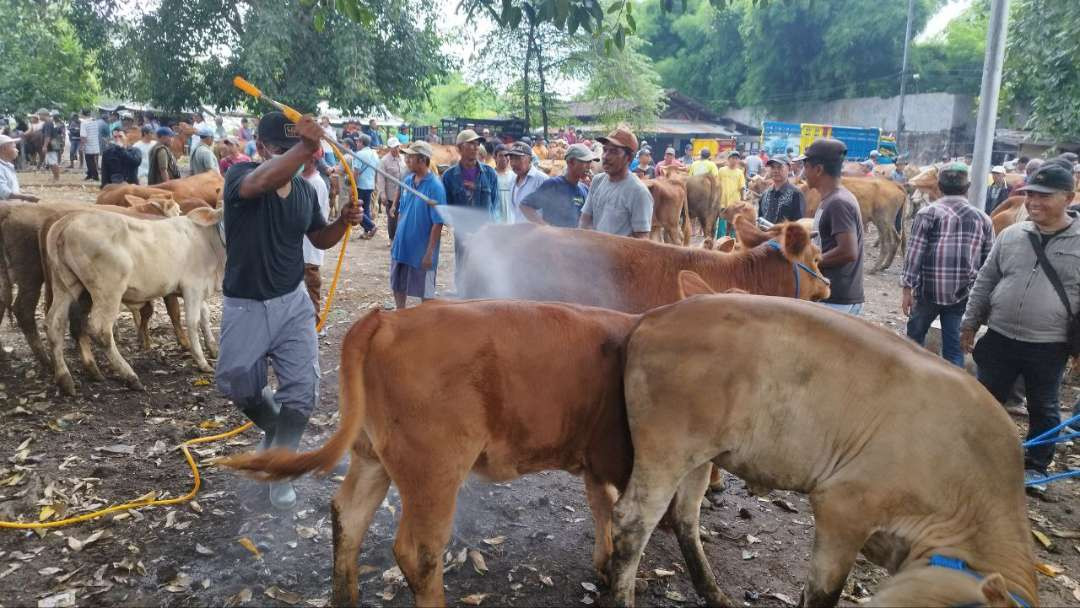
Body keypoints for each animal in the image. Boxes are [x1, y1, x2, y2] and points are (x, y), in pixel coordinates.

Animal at [43, 206, 224, 395]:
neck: (208, 240)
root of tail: (69, 220)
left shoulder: (202, 289)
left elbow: (205, 316)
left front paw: (213, 348)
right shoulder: (192, 287)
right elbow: (193, 322)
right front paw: (202, 362)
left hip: (65, 285)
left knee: (54, 324)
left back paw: (67, 378)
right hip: (108, 290)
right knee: (101, 331)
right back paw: (130, 376)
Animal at [609, 276, 1036, 608]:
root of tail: (656, 316)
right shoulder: (844, 506)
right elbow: (823, 592)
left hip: (701, 454)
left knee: (685, 516)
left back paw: (714, 593)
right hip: (666, 450)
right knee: (632, 520)